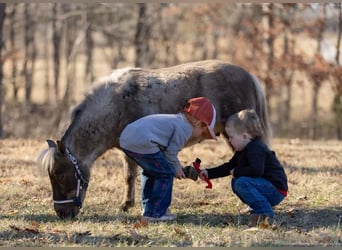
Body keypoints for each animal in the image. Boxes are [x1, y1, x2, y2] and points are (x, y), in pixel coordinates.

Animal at [37, 59, 272, 218]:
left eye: (59, 175)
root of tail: (250, 76)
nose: (62, 213)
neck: (116, 104)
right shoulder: (128, 150)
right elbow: (130, 176)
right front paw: (128, 204)